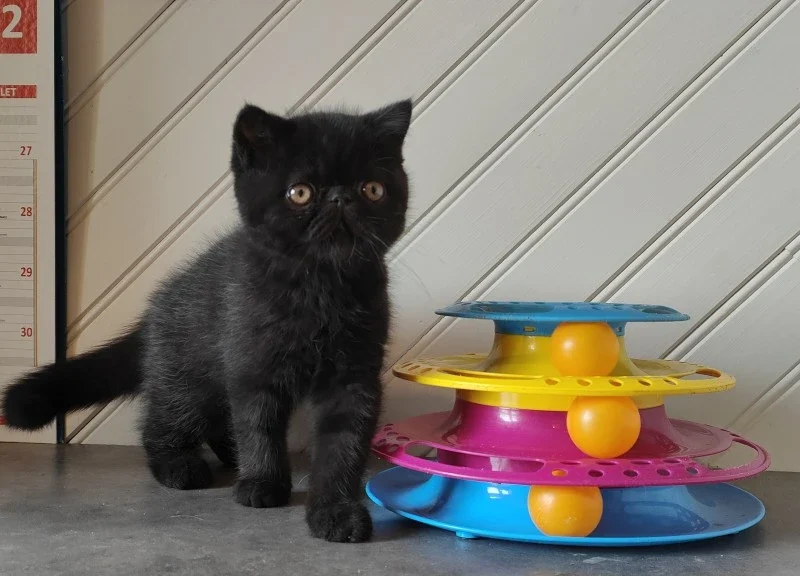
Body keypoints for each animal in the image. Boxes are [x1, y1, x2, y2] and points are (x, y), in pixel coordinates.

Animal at [1, 97, 412, 544]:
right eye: (300, 193)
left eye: (372, 189)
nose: (339, 199)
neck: (320, 290)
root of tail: (154, 313)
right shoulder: (252, 363)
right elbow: (258, 425)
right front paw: (263, 483)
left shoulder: (354, 376)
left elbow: (344, 444)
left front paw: (336, 511)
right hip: (190, 376)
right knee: (164, 419)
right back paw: (179, 466)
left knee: (219, 417)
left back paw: (230, 454)